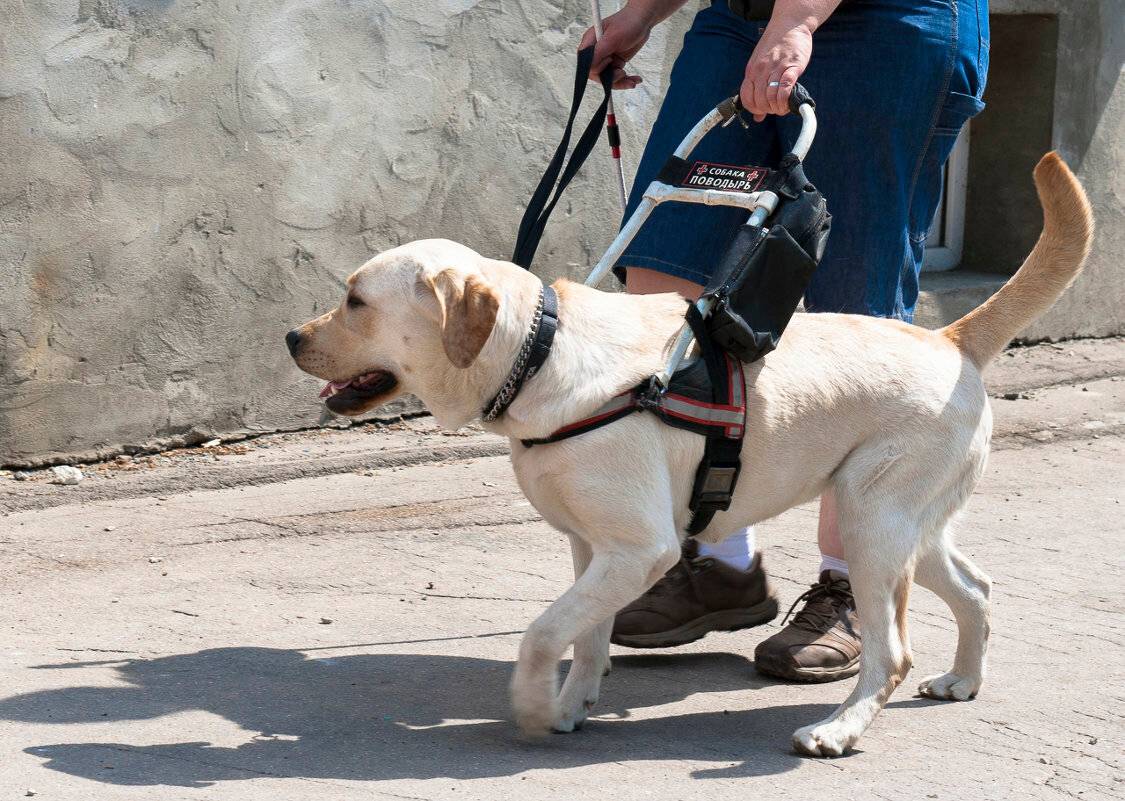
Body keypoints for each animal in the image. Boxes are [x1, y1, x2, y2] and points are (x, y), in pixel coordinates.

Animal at [285, 155, 1093, 756]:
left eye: (355, 300)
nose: (291, 337)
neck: (538, 354)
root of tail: (949, 337)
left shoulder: (639, 550)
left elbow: (543, 631)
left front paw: (534, 707)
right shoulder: (595, 550)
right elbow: (586, 635)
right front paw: (572, 705)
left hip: (871, 526)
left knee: (891, 652)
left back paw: (836, 731)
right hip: (902, 529)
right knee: (976, 587)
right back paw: (962, 681)